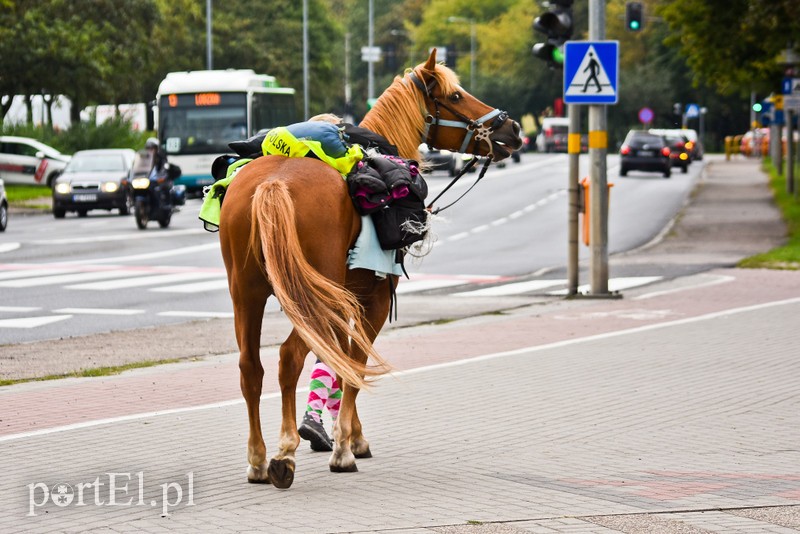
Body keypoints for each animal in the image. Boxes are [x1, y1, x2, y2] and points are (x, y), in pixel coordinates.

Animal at [216, 50, 520, 490]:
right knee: (289, 358)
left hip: (248, 293)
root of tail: (273, 183)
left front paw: (350, 437)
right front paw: (344, 447)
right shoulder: (370, 301)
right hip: (306, 299)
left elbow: (342, 363)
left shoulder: (344, 301)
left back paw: (257, 458)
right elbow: (354, 366)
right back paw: (284, 453)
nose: (513, 129)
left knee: (250, 368)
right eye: (456, 96)